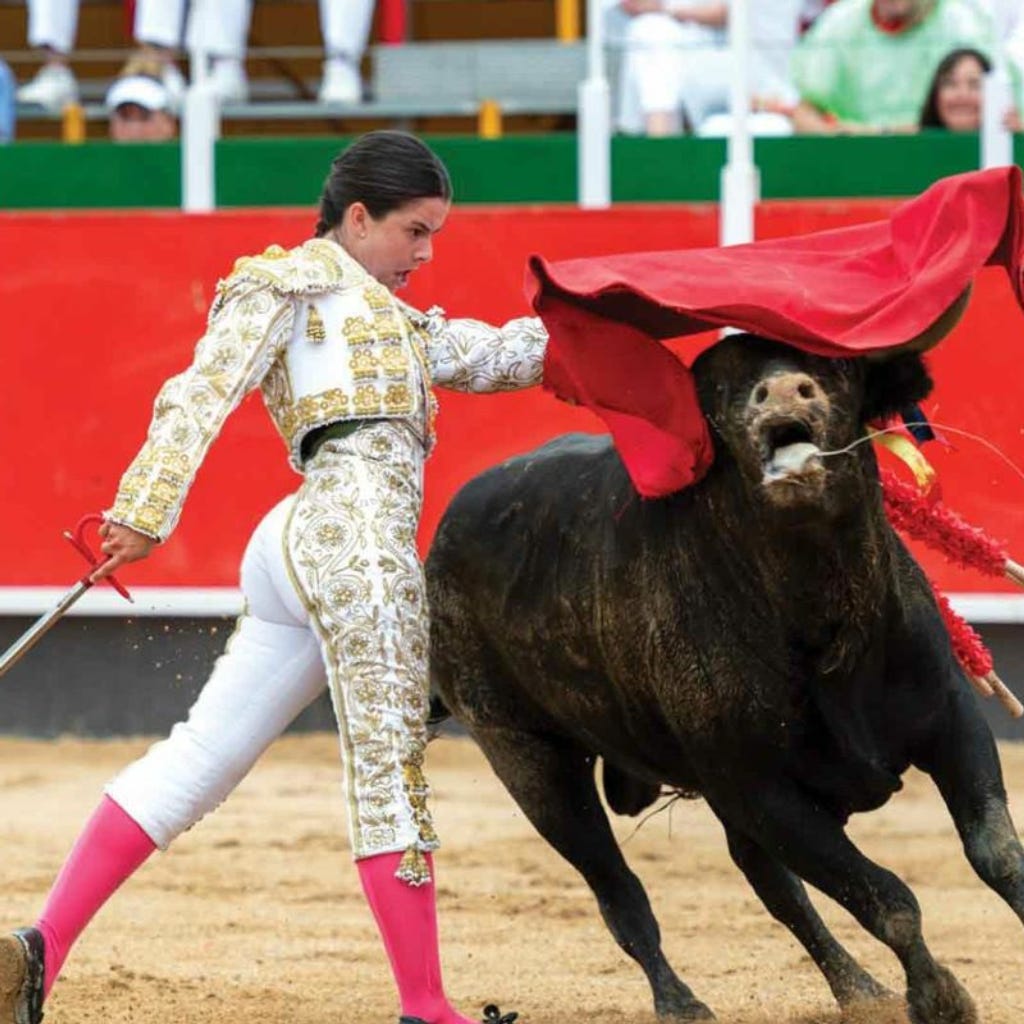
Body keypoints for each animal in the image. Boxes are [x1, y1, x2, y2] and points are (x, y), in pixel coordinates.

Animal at [425, 333, 1024, 1024]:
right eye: (719, 386)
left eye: (835, 364)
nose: (785, 389)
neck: (822, 617)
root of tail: (440, 538)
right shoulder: (759, 789)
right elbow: (887, 898)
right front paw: (940, 999)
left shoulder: (951, 722)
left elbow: (996, 853)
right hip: (530, 760)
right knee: (619, 889)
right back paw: (682, 1004)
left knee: (776, 890)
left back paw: (861, 992)